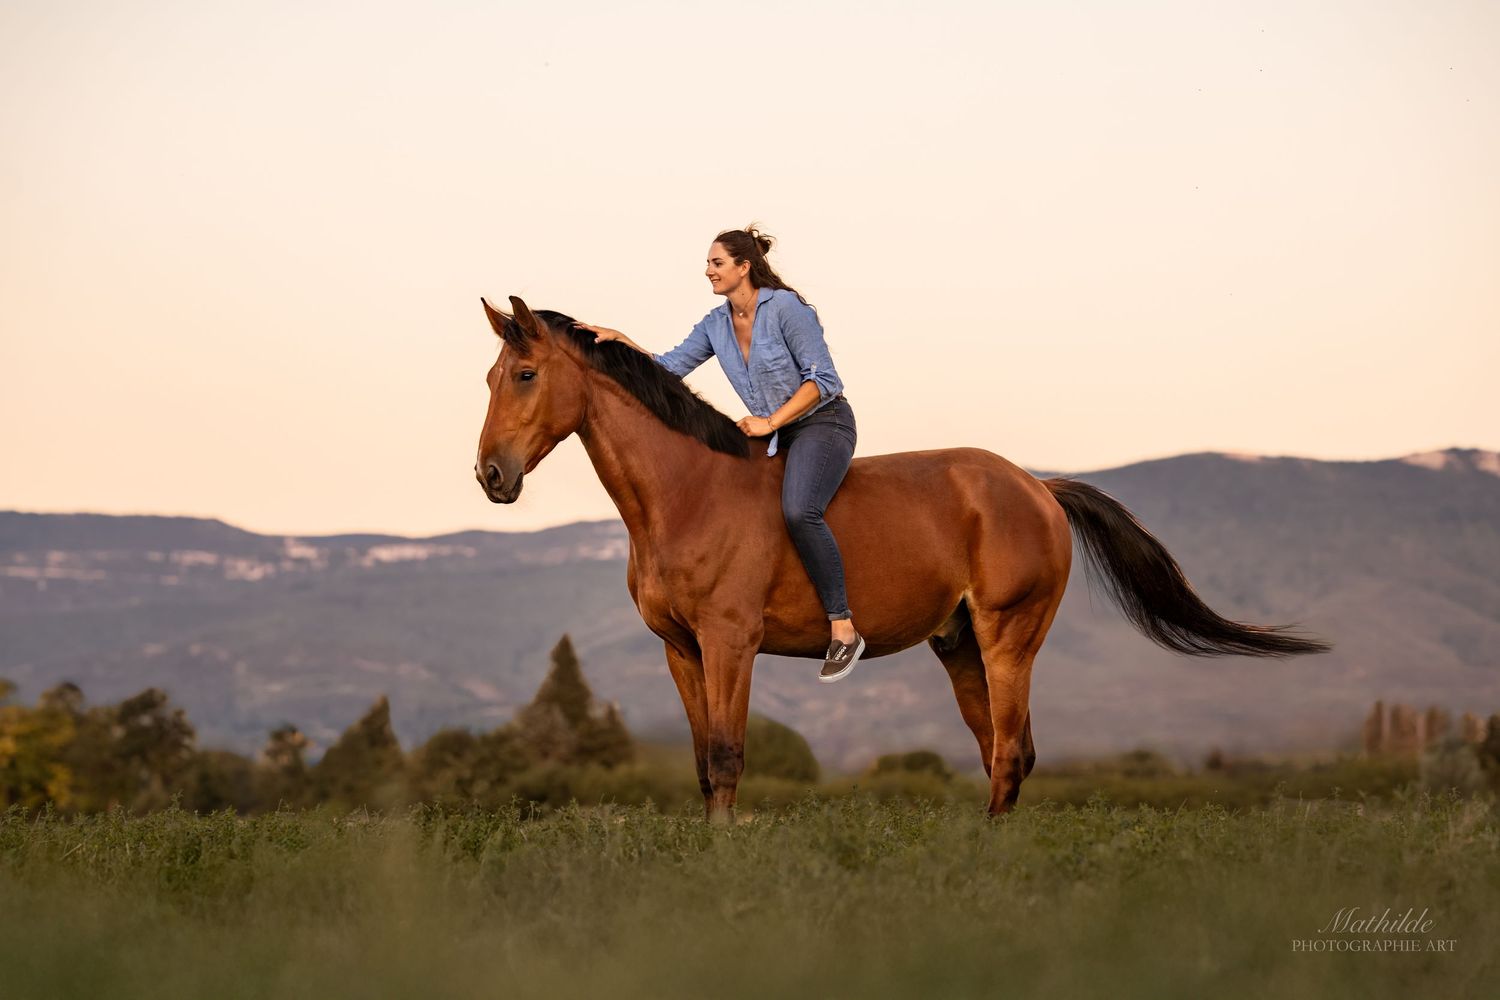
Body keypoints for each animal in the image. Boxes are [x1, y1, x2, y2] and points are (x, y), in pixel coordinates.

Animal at [474, 295, 1331, 821]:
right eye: (490, 376)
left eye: (526, 373)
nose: (490, 475)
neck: (687, 492)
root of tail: (1038, 487)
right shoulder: (681, 650)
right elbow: (700, 764)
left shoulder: (729, 643)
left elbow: (726, 757)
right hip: (959, 647)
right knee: (1000, 754)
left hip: (1009, 638)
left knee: (1011, 753)